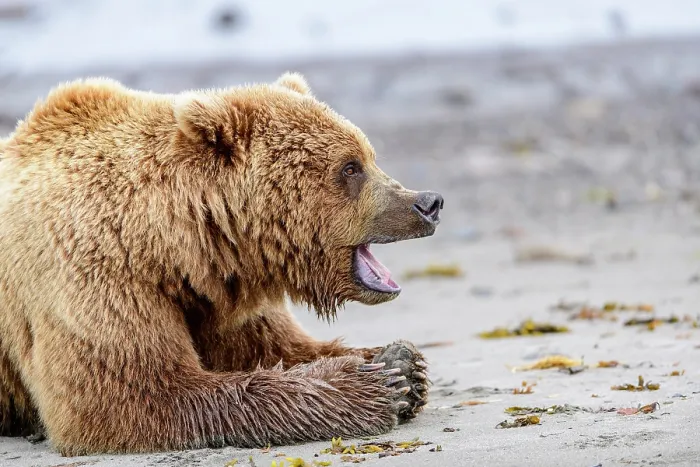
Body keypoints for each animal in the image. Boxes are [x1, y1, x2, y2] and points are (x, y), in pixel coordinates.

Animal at [0, 73, 444, 455]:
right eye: (350, 167)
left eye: (369, 157)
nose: (428, 203)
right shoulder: (100, 275)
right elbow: (133, 395)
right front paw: (368, 383)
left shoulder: (222, 294)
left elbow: (279, 347)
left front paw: (401, 363)